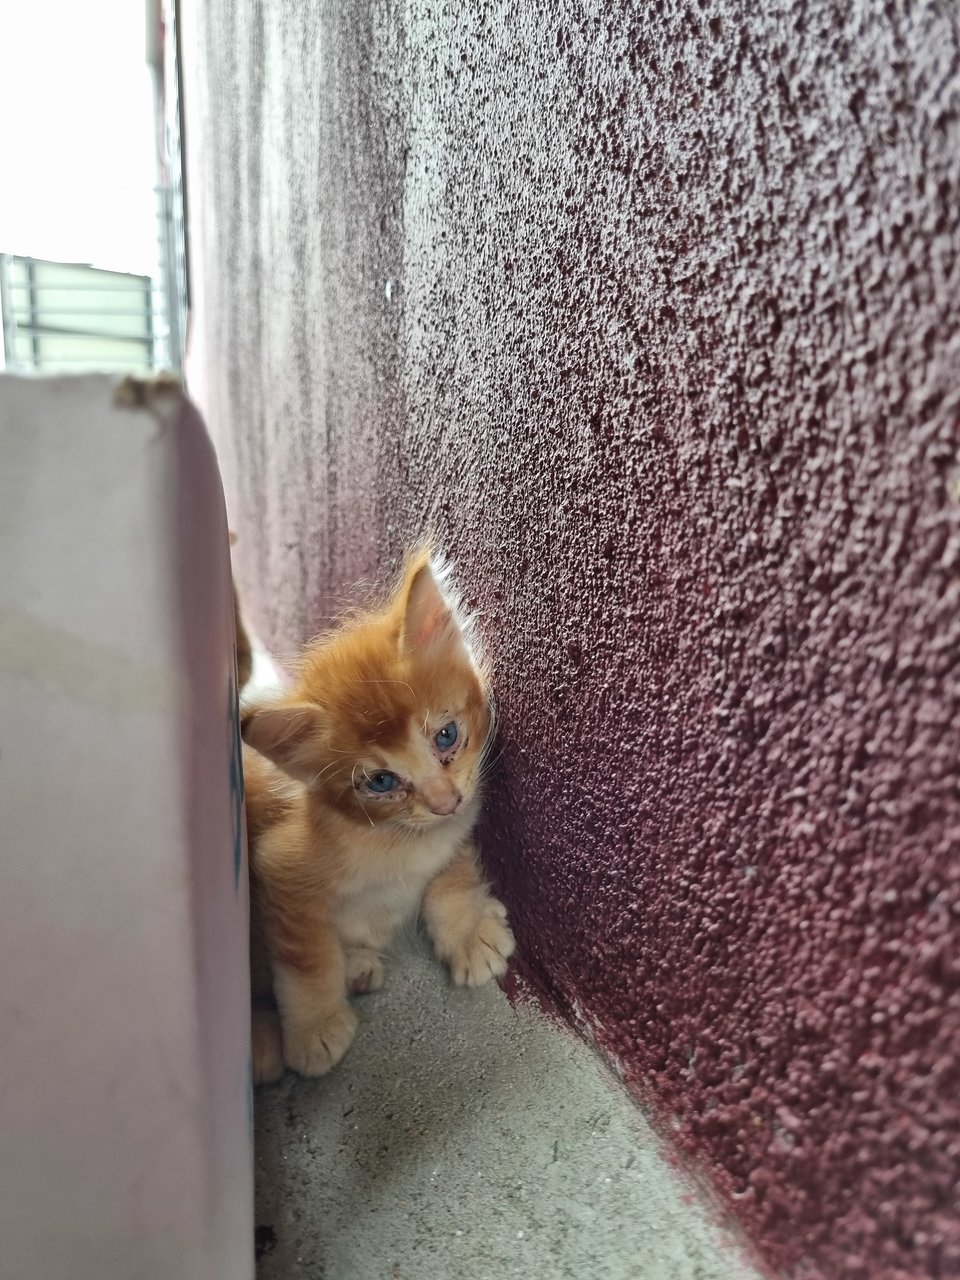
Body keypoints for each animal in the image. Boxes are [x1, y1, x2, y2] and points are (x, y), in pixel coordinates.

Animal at [244, 547, 514, 1080]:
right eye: (382, 782)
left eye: (447, 736)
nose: (444, 801)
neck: (395, 838)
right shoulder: (281, 866)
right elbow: (307, 957)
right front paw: (315, 1027)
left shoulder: (460, 818)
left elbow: (451, 875)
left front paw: (467, 931)